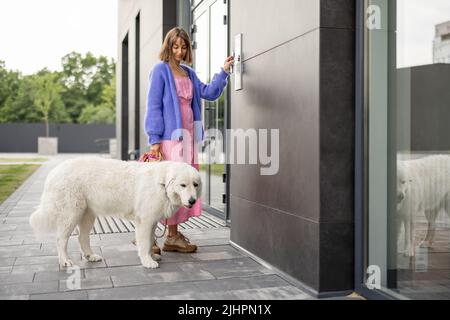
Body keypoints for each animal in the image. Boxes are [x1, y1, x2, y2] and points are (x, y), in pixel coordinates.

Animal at [29, 157, 201, 268]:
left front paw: (151, 256)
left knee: (82, 238)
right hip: (71, 214)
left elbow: (150, 241)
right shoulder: (144, 222)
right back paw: (64, 261)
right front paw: (147, 262)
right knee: (61, 239)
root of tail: (54, 171)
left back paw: (90, 256)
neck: (162, 183)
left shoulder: (151, 222)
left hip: (87, 215)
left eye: (195, 184)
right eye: (183, 185)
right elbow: (145, 243)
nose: (193, 201)